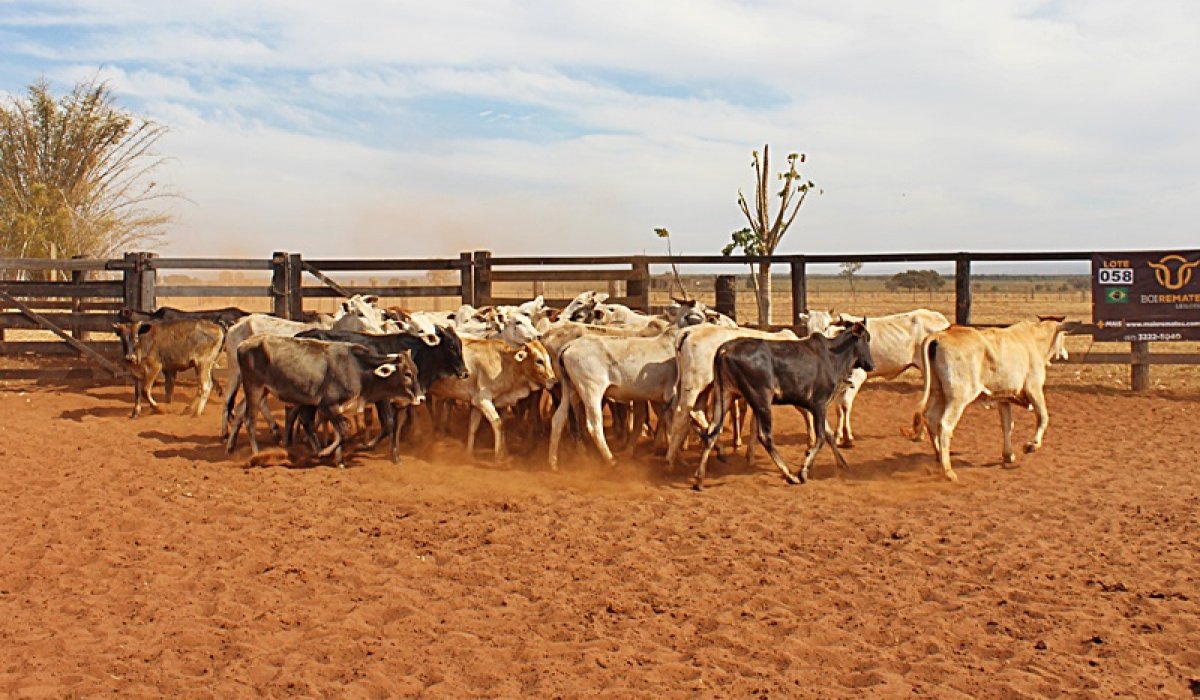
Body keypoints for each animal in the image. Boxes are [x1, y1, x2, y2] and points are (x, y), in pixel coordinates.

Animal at [225, 336, 423, 468]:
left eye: (416, 371)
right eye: (407, 374)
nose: (421, 397)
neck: (357, 368)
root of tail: (243, 344)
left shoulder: (339, 409)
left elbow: (340, 433)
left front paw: (339, 460)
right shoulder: (327, 406)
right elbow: (344, 431)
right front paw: (325, 452)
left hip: (260, 390)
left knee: (240, 411)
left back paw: (231, 448)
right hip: (254, 387)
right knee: (250, 419)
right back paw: (256, 454)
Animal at [428, 338, 556, 458]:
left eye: (549, 359)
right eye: (539, 361)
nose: (554, 381)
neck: (505, 365)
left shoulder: (480, 404)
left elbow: (474, 428)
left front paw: (469, 454)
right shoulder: (483, 400)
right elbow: (498, 423)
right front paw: (499, 456)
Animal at [693, 323, 874, 490]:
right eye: (866, 339)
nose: (871, 365)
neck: (832, 357)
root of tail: (724, 349)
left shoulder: (816, 408)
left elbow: (829, 435)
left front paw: (843, 464)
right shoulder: (819, 405)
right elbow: (822, 437)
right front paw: (804, 470)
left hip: (725, 395)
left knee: (712, 432)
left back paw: (699, 479)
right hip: (761, 400)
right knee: (765, 436)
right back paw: (790, 475)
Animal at [827, 309, 951, 447]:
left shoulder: (857, 377)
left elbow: (845, 405)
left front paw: (848, 437)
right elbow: (838, 408)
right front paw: (837, 436)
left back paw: (921, 434)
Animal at [912, 316, 1068, 482]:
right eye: (1063, 336)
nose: (1065, 354)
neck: (1033, 339)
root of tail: (940, 336)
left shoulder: (1004, 398)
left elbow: (1007, 426)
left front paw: (1008, 455)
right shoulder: (1034, 389)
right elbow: (1043, 417)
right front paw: (1032, 445)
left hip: (938, 392)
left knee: (930, 418)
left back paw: (938, 456)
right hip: (958, 398)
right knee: (944, 424)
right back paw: (948, 471)